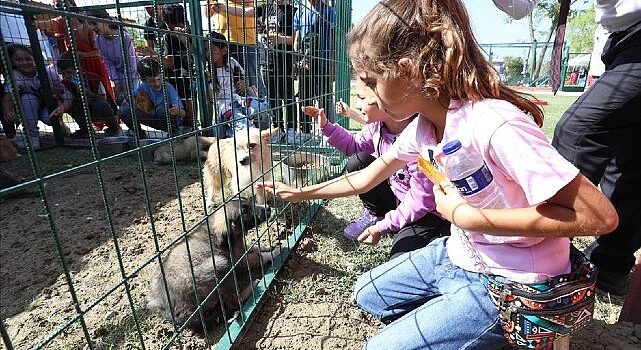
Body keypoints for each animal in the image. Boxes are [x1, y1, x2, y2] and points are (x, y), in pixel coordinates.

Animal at [150, 198, 282, 332]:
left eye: (249, 201)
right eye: (244, 211)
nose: (268, 208)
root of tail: (178, 315)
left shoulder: (240, 249)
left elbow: (252, 247)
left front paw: (265, 247)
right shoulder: (237, 261)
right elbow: (257, 256)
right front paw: (274, 253)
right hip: (220, 264)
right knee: (234, 301)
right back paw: (253, 286)